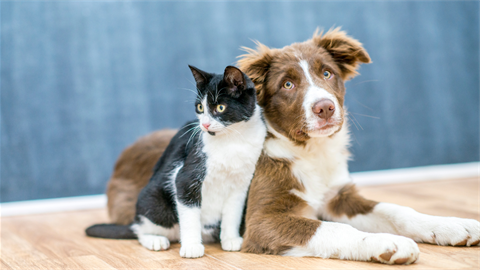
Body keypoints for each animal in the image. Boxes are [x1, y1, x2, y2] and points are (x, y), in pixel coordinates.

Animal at [86, 64, 266, 258]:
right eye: (200, 107)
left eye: (220, 107)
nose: (205, 125)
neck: (232, 140)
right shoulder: (185, 178)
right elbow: (189, 214)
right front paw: (192, 247)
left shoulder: (241, 184)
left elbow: (233, 213)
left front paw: (230, 239)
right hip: (155, 202)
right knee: (140, 229)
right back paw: (155, 240)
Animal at [106, 28, 480, 264]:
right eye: (287, 84)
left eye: (327, 73)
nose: (325, 107)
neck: (309, 152)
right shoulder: (262, 220)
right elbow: (332, 228)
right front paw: (383, 243)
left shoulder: (339, 196)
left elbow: (396, 209)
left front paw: (452, 225)